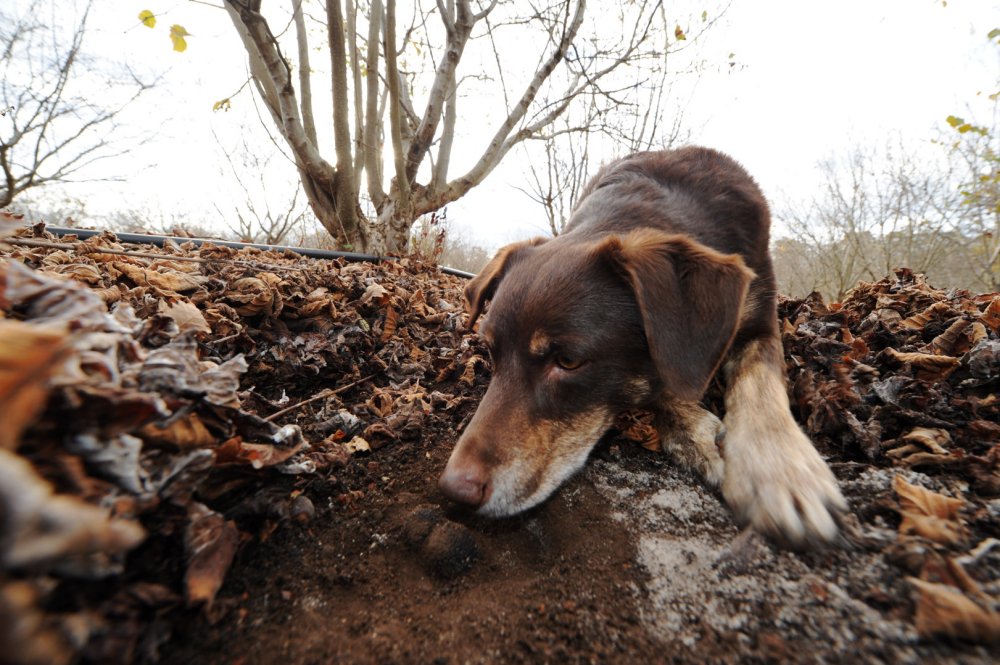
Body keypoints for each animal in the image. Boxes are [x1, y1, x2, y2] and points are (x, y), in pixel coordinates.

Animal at [438, 148, 844, 548]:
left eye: (567, 360)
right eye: (491, 352)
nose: (453, 492)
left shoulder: (762, 319)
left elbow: (759, 378)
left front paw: (780, 468)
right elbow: (664, 378)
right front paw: (695, 430)